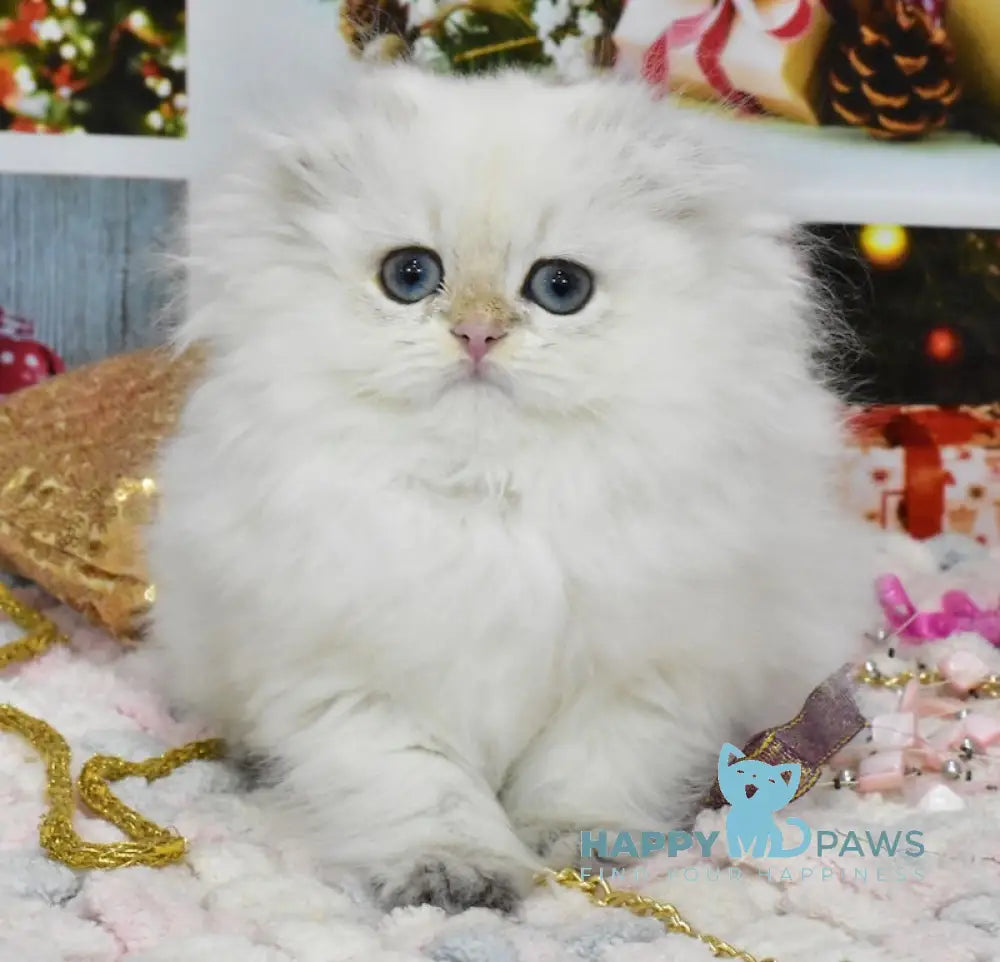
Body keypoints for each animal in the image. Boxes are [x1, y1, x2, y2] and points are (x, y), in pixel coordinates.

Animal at [146, 62, 876, 908]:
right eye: (409, 276)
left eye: (560, 287)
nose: (477, 333)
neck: (492, 496)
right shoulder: (359, 684)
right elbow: (426, 794)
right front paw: (456, 874)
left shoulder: (639, 681)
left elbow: (584, 778)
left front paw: (581, 846)